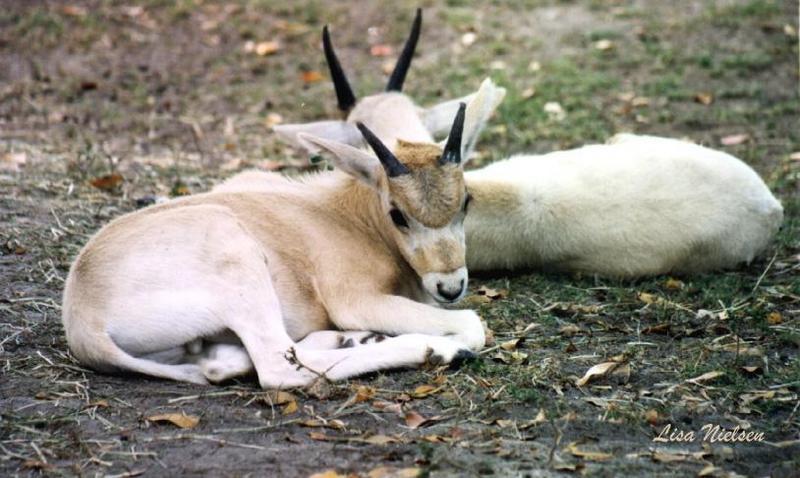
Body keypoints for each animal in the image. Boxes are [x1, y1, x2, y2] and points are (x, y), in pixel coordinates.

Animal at [62, 105, 484, 388]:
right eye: (398, 214)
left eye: (466, 200)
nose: (450, 286)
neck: (348, 216)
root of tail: (84, 322)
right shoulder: (356, 300)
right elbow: (471, 324)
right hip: (238, 260)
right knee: (277, 366)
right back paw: (429, 348)